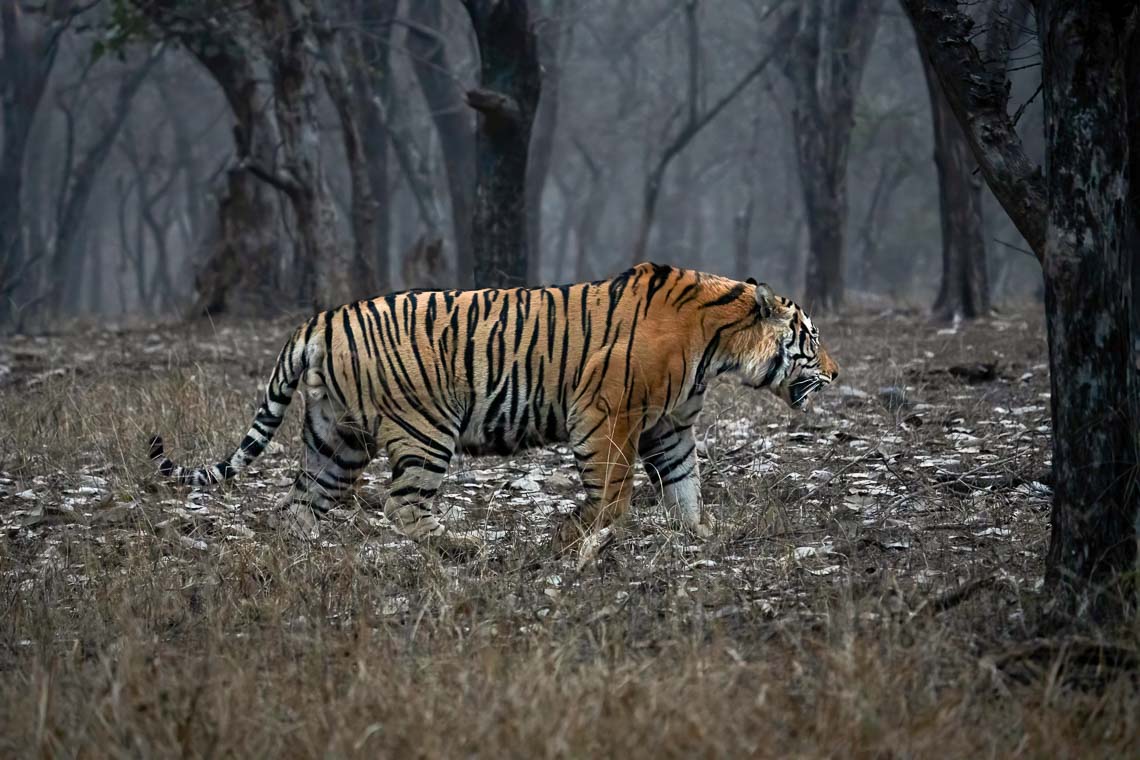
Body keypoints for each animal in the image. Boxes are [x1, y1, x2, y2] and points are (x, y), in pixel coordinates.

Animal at [147, 264, 839, 562]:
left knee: (300, 506)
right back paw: (467, 543)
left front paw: (701, 533)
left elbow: (686, 487)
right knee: (404, 509)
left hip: (334, 438)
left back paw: (301, 557)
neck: (718, 347)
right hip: (424, 430)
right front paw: (576, 537)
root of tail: (317, 321)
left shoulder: (670, 426)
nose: (836, 374)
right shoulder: (606, 413)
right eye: (811, 336)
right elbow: (613, 492)